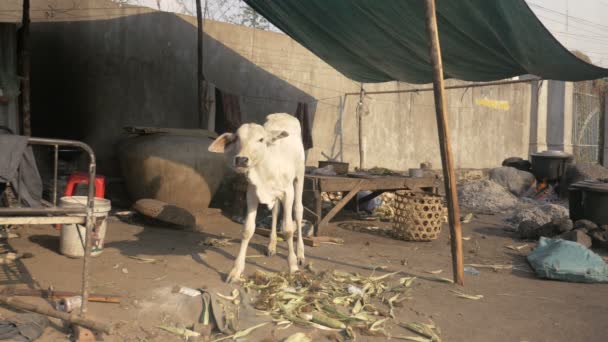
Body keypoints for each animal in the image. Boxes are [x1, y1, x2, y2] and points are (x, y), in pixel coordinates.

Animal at [209, 113, 306, 282]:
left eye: (261, 139)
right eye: (237, 138)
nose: (241, 160)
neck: (266, 168)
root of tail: (284, 115)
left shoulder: (288, 193)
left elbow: (288, 229)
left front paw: (293, 266)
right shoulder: (252, 193)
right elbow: (248, 229)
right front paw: (236, 270)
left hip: (300, 176)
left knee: (298, 212)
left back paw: (300, 253)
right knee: (275, 211)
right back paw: (271, 245)